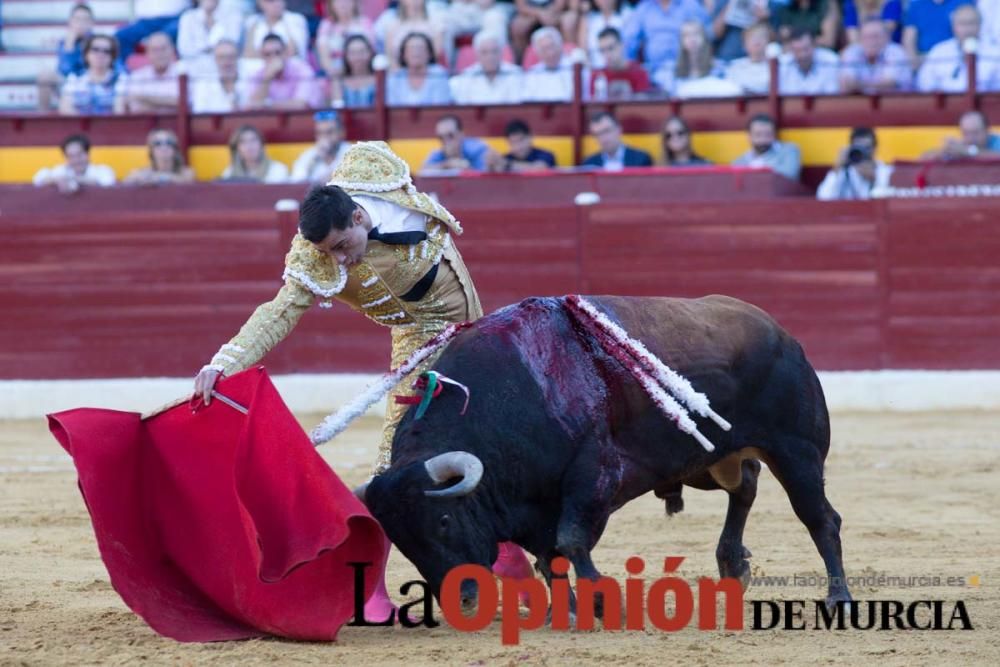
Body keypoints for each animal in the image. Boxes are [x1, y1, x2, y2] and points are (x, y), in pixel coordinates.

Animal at [364, 298, 848, 612]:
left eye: (444, 520)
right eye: (401, 539)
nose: (461, 599)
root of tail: (782, 334)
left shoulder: (592, 475)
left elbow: (569, 541)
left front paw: (599, 601)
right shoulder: (537, 505)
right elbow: (550, 559)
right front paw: (566, 610)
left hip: (797, 452)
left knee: (820, 518)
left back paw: (837, 597)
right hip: (707, 460)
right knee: (744, 485)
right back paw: (733, 566)